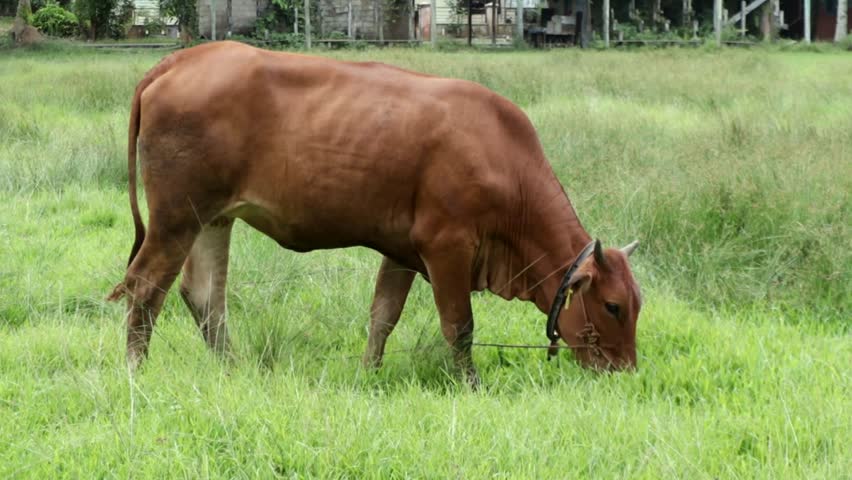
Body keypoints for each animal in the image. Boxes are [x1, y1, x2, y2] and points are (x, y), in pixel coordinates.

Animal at [108, 41, 642, 383]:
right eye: (613, 306)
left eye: (636, 305)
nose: (626, 373)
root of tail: (182, 58)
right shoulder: (446, 246)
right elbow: (460, 327)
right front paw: (471, 385)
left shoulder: (402, 250)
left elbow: (383, 316)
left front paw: (369, 374)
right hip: (176, 218)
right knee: (145, 288)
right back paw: (135, 373)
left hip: (213, 217)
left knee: (204, 297)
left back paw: (232, 370)